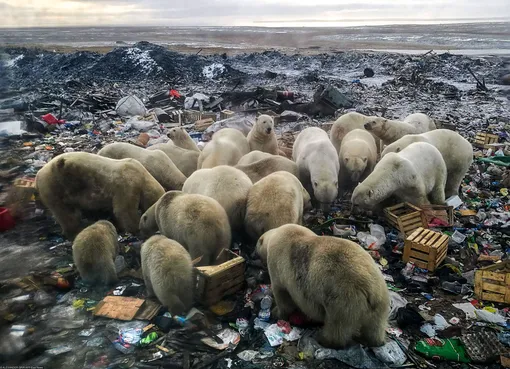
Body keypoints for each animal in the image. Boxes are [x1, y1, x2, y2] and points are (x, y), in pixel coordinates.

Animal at [35, 152, 163, 240]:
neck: (143, 176)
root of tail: (38, 174)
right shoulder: (127, 183)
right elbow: (124, 210)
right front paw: (136, 228)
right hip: (55, 185)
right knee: (65, 213)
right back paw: (74, 231)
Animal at [256, 221, 388, 348]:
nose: (253, 255)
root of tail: (370, 290)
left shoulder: (278, 265)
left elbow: (282, 295)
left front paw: (276, 312)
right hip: (380, 301)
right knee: (375, 326)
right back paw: (374, 341)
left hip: (343, 300)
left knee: (337, 326)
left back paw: (324, 340)